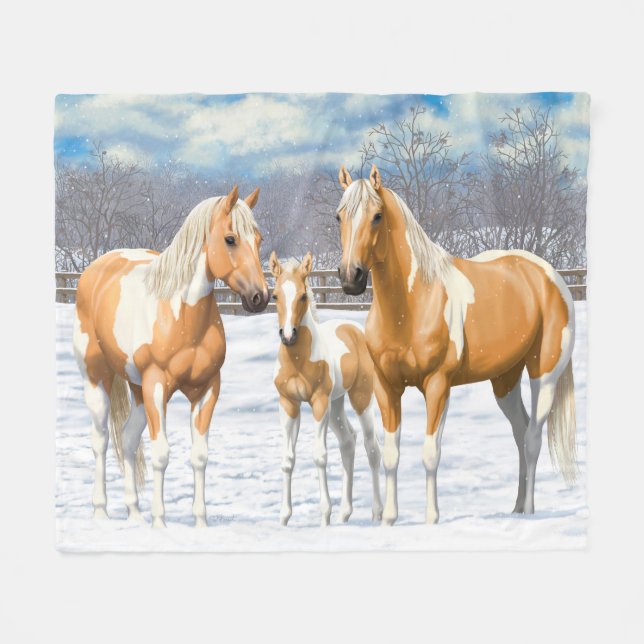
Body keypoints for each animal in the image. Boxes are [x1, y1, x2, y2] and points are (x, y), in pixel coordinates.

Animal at [73, 186, 269, 527]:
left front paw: (200, 523)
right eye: (230, 239)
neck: (182, 317)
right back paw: (100, 511)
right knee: (100, 440)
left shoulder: (207, 389)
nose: (260, 297)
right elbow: (161, 454)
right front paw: (160, 523)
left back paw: (134, 513)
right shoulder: (156, 386)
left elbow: (200, 455)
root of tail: (97, 269)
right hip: (97, 378)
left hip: (137, 390)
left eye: (258, 240)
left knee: (127, 439)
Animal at [269, 252, 383, 526]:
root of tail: (354, 329)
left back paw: (376, 513)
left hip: (360, 398)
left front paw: (324, 516)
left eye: (303, 295)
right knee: (348, 441)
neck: (298, 361)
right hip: (336, 404)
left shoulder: (319, 402)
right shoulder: (288, 404)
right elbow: (287, 459)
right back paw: (345, 513)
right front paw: (284, 518)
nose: (288, 335)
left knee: (372, 447)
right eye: (275, 295)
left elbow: (320, 455)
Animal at [335, 164, 577, 526]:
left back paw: (531, 511)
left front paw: (431, 518)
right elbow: (391, 453)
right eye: (339, 216)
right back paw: (517, 508)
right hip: (505, 381)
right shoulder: (386, 387)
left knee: (533, 438)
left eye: (377, 216)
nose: (351, 277)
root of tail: (549, 275)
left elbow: (430, 452)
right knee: (520, 433)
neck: (412, 303)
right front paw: (389, 519)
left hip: (543, 376)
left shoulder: (438, 385)